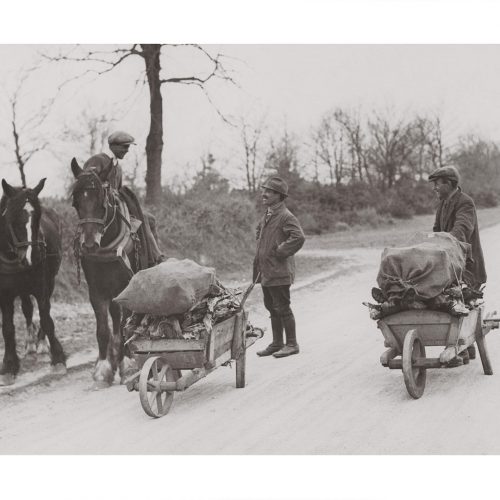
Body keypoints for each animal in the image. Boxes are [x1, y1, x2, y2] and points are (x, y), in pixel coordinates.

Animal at [0, 180, 66, 386]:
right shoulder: (5, 294)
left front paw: (58, 358)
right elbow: (8, 328)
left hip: (50, 280)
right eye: (12, 217)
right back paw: (30, 343)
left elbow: (46, 318)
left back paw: (42, 343)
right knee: (27, 308)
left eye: (38, 216)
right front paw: (9, 366)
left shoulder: (41, 286)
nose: (33, 256)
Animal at [68, 159, 145, 386]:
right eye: (76, 203)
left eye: (102, 202)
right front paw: (103, 367)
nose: (89, 244)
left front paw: (127, 364)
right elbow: (102, 330)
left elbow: (125, 325)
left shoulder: (128, 287)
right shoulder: (97, 292)